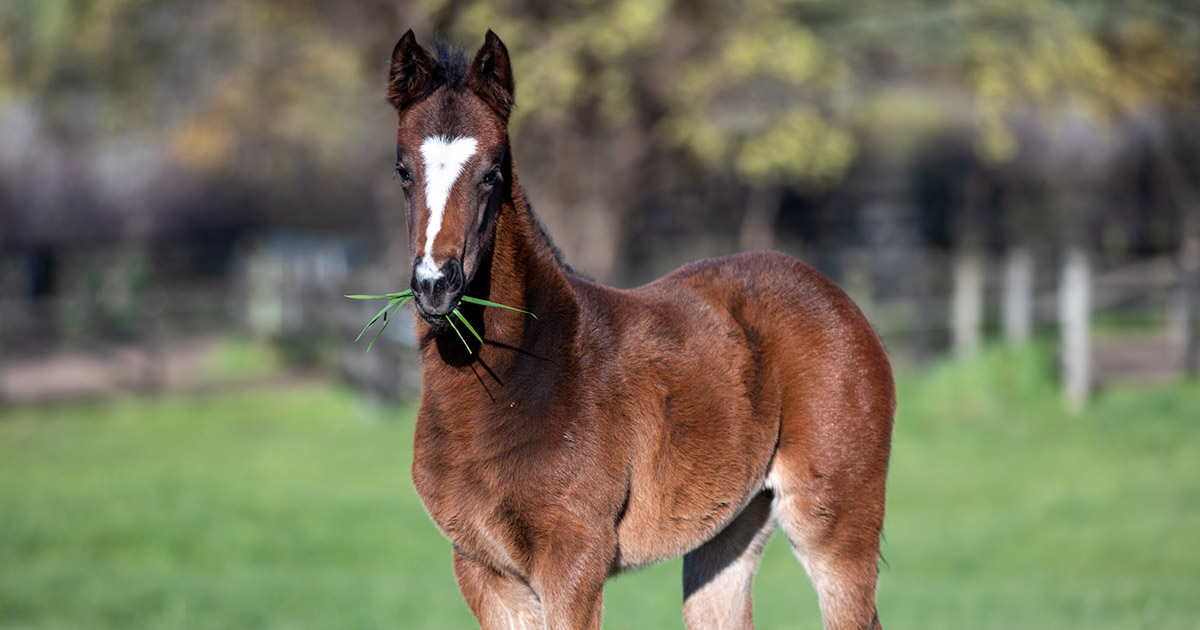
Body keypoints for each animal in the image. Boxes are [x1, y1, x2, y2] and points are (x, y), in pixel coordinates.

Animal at [383, 30, 895, 630]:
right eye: (402, 171)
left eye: (492, 172)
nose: (435, 285)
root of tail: (837, 297)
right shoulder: (481, 567)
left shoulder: (574, 557)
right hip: (730, 527)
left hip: (834, 520)